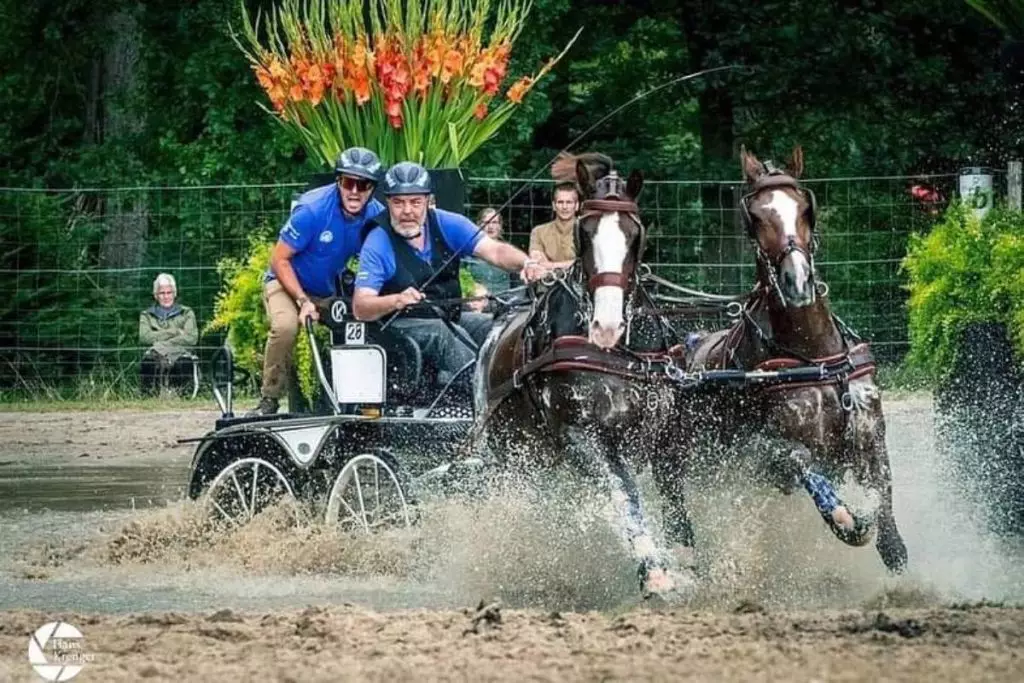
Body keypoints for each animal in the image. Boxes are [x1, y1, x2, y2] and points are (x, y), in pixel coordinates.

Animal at [471, 152, 696, 602]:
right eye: (585, 232)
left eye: (635, 234)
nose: (605, 325)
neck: (616, 353)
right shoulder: (583, 436)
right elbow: (624, 493)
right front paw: (654, 570)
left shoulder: (663, 433)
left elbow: (673, 494)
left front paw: (689, 562)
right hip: (515, 456)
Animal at [651, 147, 909, 573]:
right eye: (754, 217)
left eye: (805, 207)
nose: (797, 281)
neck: (815, 357)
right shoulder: (762, 457)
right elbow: (799, 458)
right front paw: (844, 518)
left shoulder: (871, 436)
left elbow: (887, 518)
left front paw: (889, 542)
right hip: (676, 459)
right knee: (672, 499)